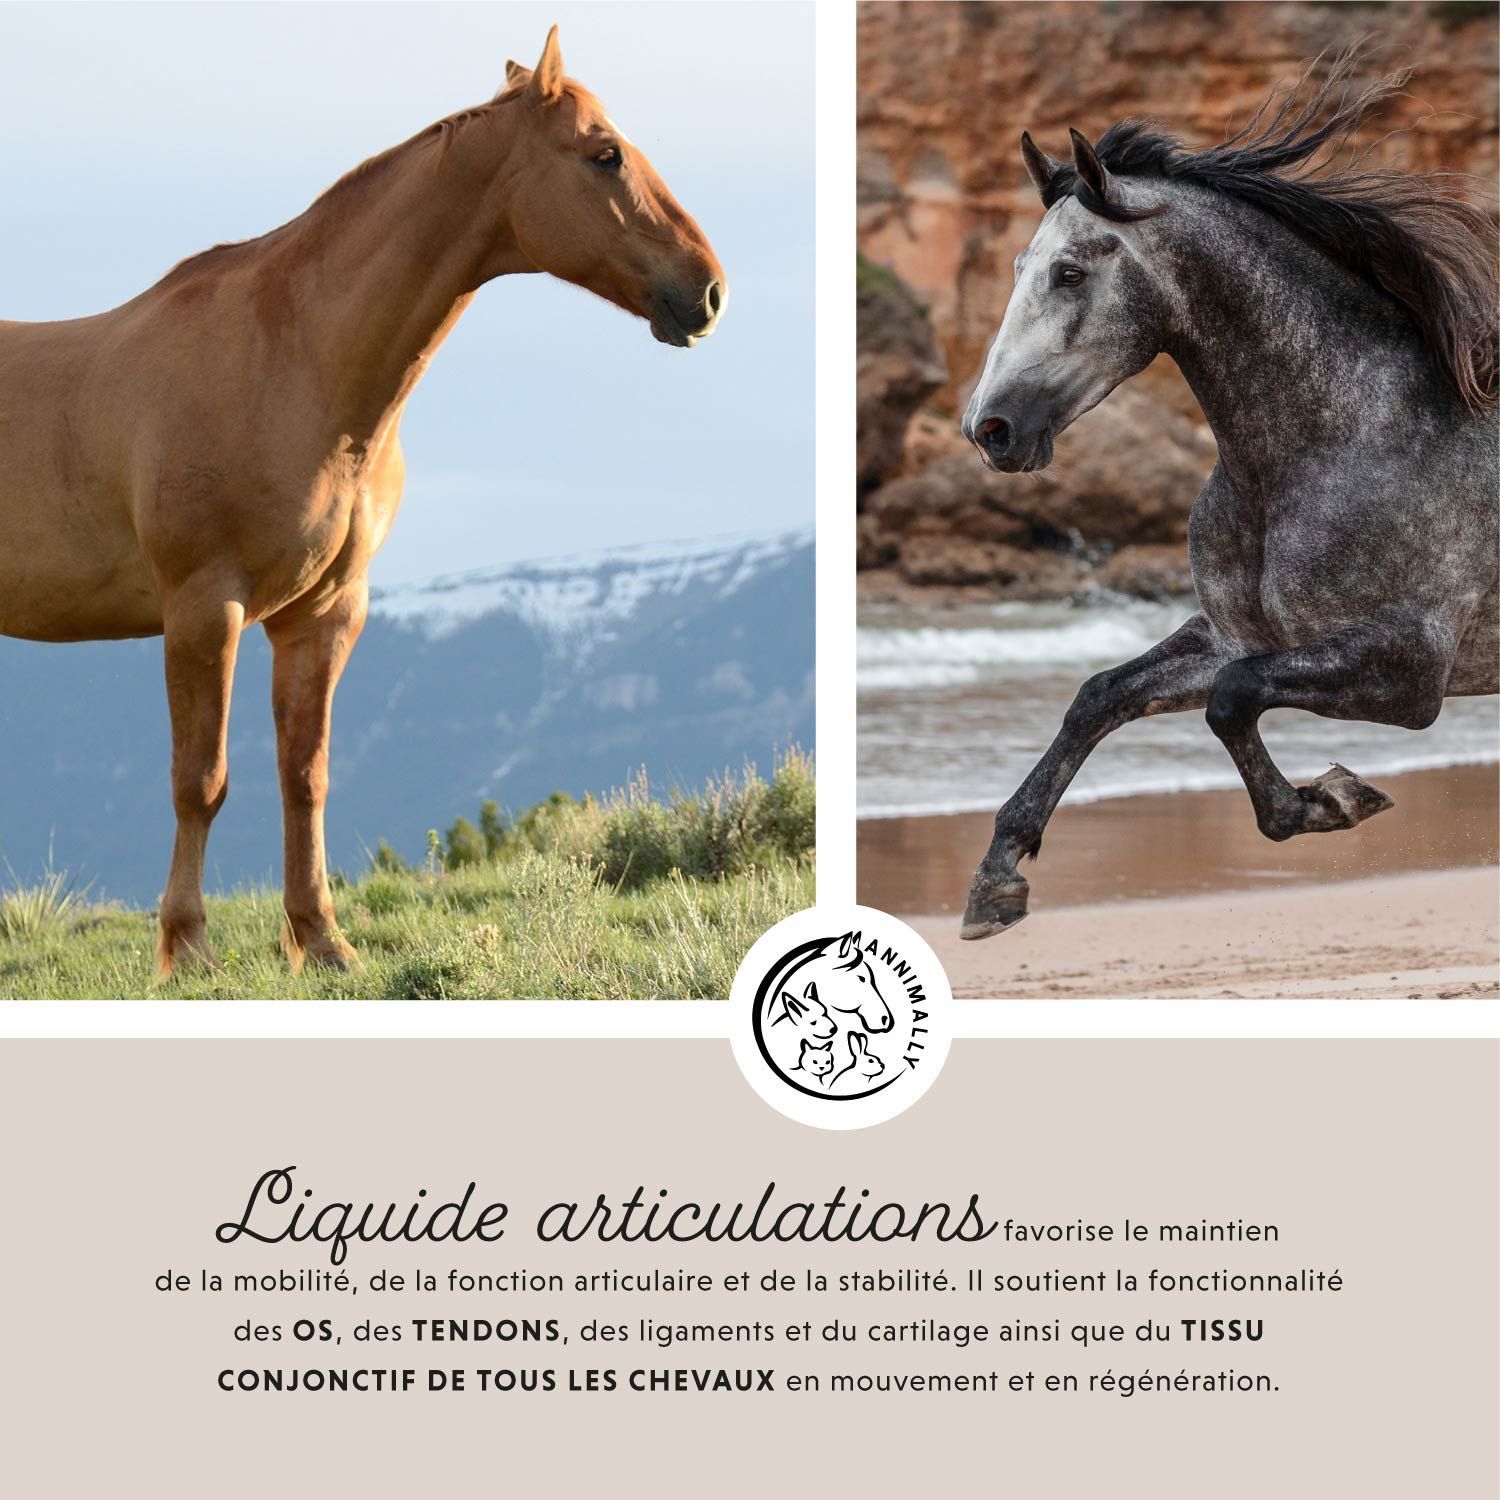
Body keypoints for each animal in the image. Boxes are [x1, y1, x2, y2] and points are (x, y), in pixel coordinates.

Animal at [0, 28, 725, 978]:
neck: (292, 362)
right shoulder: (203, 609)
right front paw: (187, 949)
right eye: (604, 153)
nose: (707, 290)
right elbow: (201, 779)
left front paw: (320, 940)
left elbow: (304, 777)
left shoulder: (323, 614)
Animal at [956, 51, 1498, 940]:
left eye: (1069, 273)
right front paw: (997, 879)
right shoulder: (1239, 635)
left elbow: (1230, 701)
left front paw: (1334, 799)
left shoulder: (1410, 669)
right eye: (1016, 270)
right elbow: (1100, 696)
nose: (989, 428)